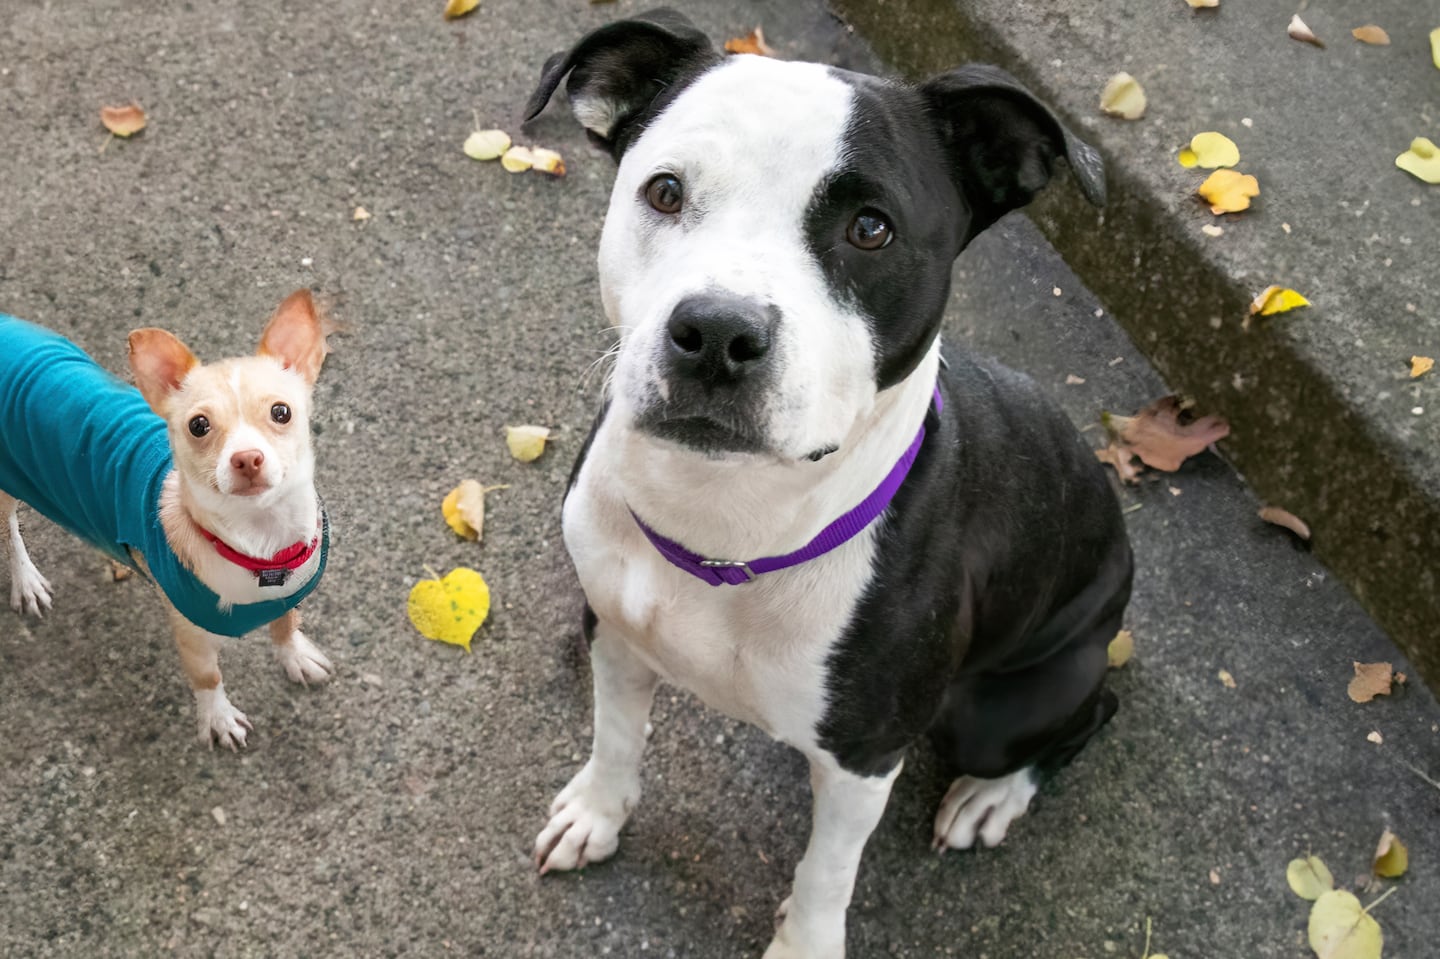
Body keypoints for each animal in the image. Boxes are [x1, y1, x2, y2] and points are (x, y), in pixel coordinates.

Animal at [524, 9, 1128, 956]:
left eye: (871, 229)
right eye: (665, 191)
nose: (716, 332)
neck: (728, 522)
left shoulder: (864, 762)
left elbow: (825, 873)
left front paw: (803, 940)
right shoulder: (616, 637)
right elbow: (617, 737)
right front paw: (597, 811)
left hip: (1001, 708)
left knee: (1092, 714)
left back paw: (993, 796)